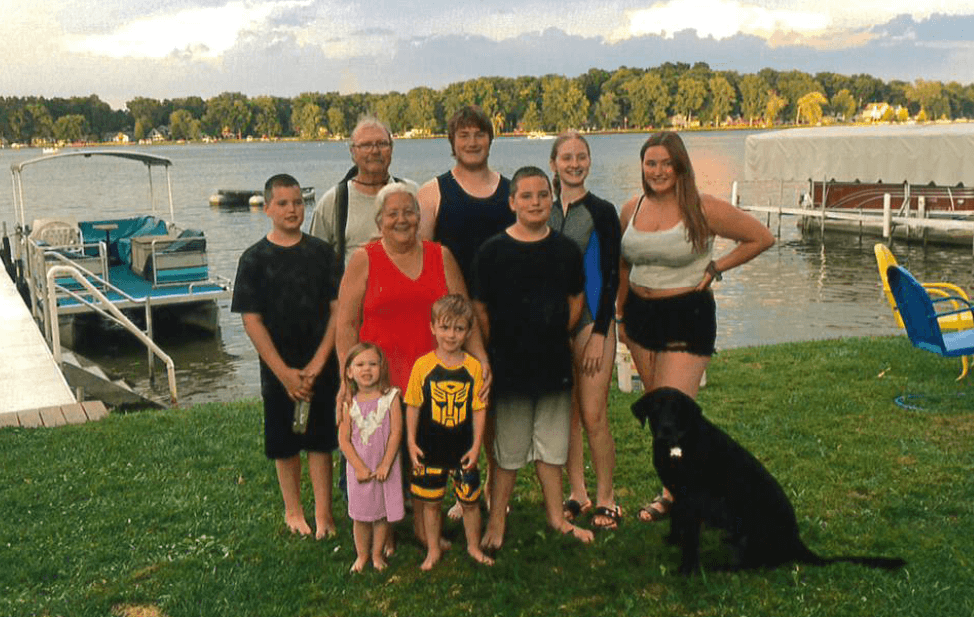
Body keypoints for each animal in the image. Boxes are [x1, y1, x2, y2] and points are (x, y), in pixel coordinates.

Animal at [632, 388, 908, 576]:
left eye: (677, 410)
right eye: (655, 409)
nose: (666, 430)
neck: (678, 446)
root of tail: (796, 542)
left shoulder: (693, 498)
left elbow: (690, 540)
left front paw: (685, 570)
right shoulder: (678, 493)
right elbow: (676, 520)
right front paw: (672, 541)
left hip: (748, 526)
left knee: (753, 564)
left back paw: (720, 567)